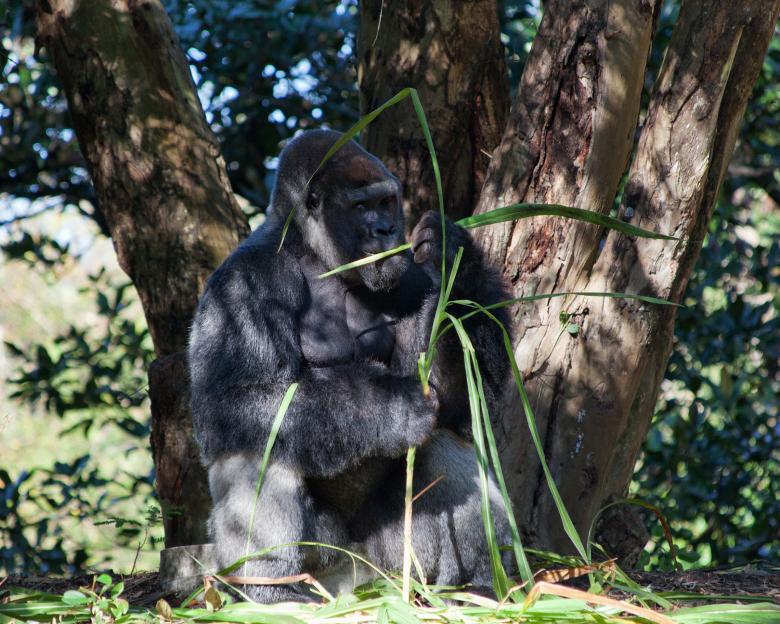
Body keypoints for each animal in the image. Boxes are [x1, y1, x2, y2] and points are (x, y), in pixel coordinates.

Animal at [188, 130, 512, 603]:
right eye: (361, 207)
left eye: (387, 202)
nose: (386, 230)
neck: (313, 253)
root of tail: (361, 581)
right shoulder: (242, 283)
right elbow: (235, 400)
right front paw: (392, 407)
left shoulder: (410, 275)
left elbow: (462, 400)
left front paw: (455, 257)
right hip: (330, 569)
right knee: (254, 438)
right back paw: (273, 590)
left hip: (394, 564)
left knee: (444, 435)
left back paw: (476, 585)